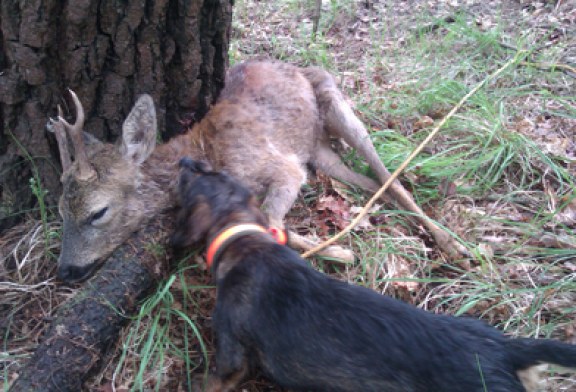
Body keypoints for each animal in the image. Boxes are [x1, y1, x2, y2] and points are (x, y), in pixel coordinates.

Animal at [47, 59, 466, 284]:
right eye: (61, 210)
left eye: (98, 212)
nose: (65, 270)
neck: (205, 153)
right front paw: (342, 251)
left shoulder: (281, 166)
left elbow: (270, 220)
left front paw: (338, 254)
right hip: (318, 151)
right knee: (365, 178)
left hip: (334, 99)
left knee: (386, 171)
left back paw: (455, 245)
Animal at [172, 157, 576, 392]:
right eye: (217, 171)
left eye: (194, 177)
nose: (186, 158)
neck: (245, 239)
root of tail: (507, 348)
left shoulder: (231, 358)